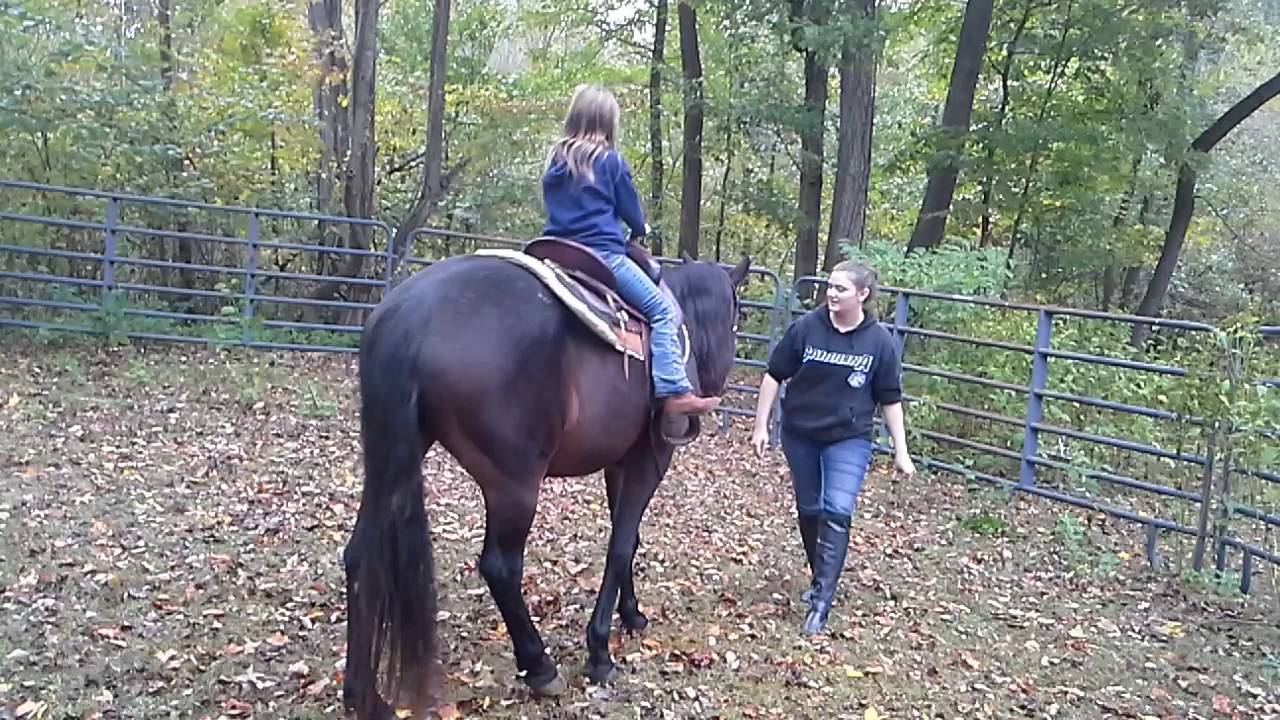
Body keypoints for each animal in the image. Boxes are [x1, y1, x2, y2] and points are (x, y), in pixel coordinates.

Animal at [341, 244, 751, 719]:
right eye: (737, 314)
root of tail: (412, 315)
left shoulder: (619, 463)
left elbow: (627, 538)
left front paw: (630, 615)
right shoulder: (650, 459)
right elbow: (621, 545)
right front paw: (599, 651)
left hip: (393, 461)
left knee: (360, 555)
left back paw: (362, 693)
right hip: (514, 485)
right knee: (500, 567)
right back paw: (539, 666)